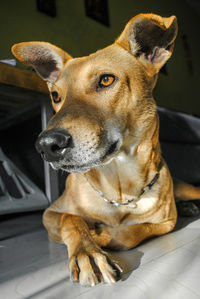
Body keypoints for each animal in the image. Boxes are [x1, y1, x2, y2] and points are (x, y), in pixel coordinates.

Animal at [11, 12, 200, 288]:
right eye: (56, 96)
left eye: (106, 80)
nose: (46, 145)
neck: (119, 188)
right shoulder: (50, 213)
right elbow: (72, 219)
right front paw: (86, 250)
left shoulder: (166, 222)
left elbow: (130, 233)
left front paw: (100, 235)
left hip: (188, 188)